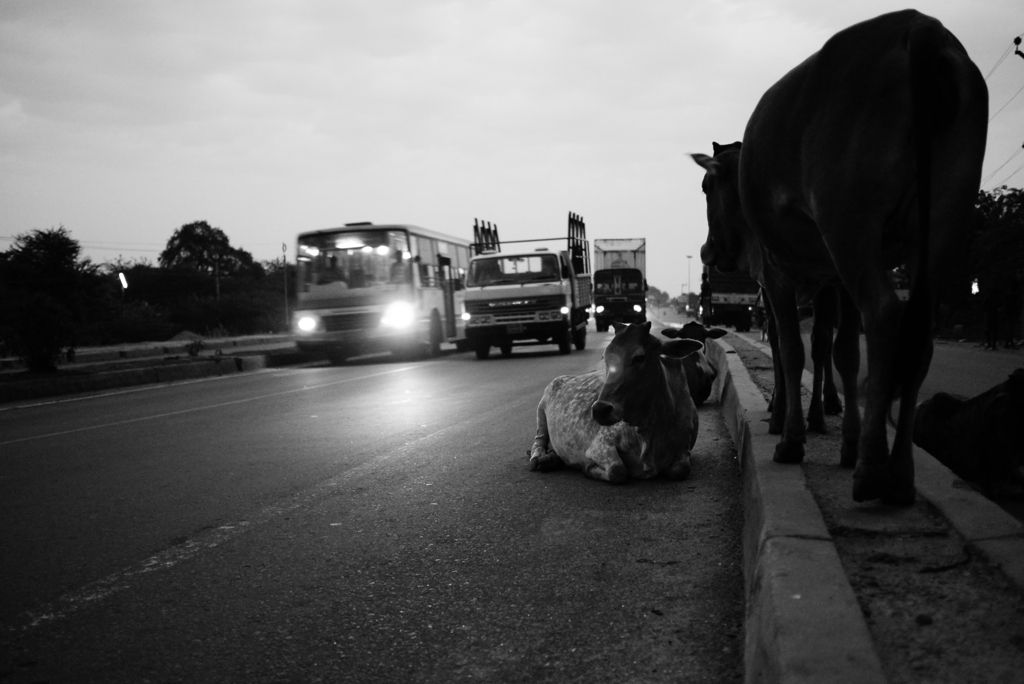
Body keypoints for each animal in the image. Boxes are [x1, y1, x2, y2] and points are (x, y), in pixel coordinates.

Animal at [528, 321, 704, 481]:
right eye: (605, 358)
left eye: (639, 358)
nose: (600, 409)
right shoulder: (601, 445)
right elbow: (617, 470)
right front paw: (588, 467)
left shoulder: (684, 448)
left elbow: (681, 470)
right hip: (541, 410)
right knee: (539, 440)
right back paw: (540, 458)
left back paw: (551, 459)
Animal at [692, 7, 987, 505]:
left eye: (705, 187)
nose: (708, 250)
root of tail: (918, 26)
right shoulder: (830, 279)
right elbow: (841, 351)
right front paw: (836, 432)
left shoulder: (777, 276)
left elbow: (790, 350)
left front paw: (789, 431)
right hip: (943, 217)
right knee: (916, 332)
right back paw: (898, 474)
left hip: (850, 222)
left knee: (883, 314)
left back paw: (870, 469)